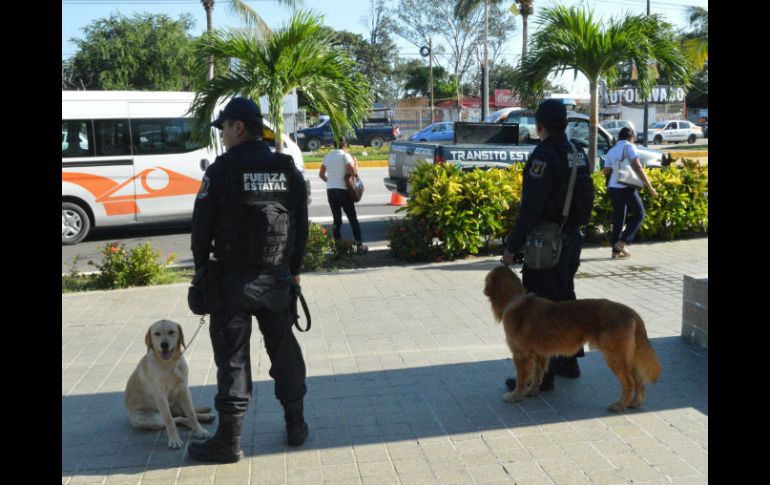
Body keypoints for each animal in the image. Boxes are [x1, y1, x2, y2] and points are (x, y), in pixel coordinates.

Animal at [124, 320, 214, 448]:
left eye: (171, 332)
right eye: (157, 334)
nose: (164, 344)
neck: (169, 364)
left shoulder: (184, 391)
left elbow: (191, 413)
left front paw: (200, 431)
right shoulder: (161, 396)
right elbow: (169, 420)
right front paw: (174, 440)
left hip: (176, 401)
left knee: (183, 415)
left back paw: (205, 417)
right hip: (148, 420)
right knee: (176, 418)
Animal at [484, 264, 656, 412]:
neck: (515, 298)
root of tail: (630, 312)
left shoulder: (520, 354)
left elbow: (521, 378)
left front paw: (515, 396)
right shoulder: (539, 354)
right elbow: (537, 374)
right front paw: (532, 391)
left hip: (615, 356)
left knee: (629, 382)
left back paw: (620, 405)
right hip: (628, 356)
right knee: (639, 381)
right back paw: (635, 403)